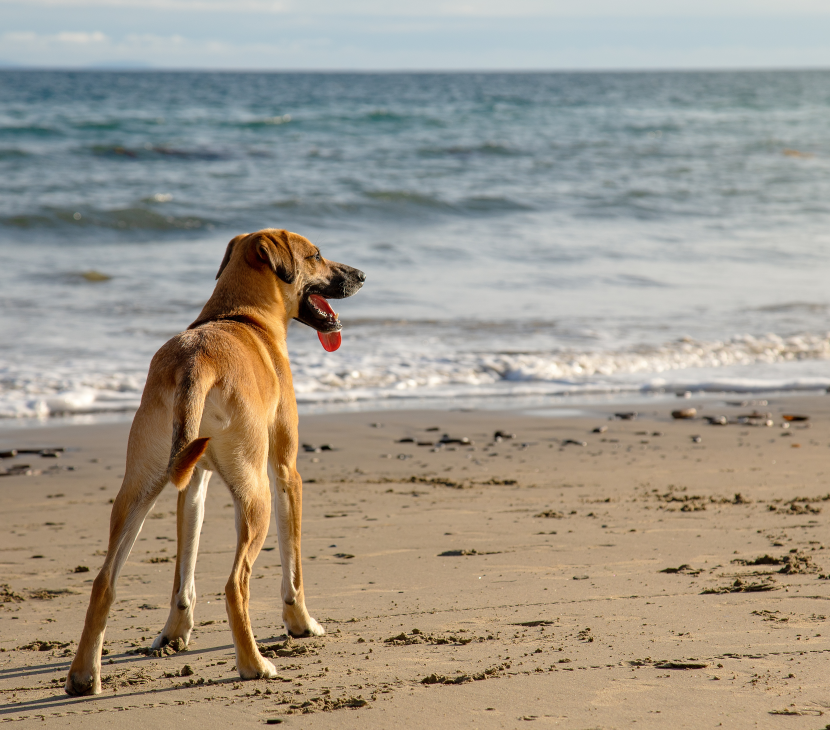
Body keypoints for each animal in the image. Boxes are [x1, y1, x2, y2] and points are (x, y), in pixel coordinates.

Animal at [65, 228, 364, 692]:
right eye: (316, 255)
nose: (361, 276)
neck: (240, 316)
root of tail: (195, 363)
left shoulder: (192, 486)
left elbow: (183, 571)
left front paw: (174, 633)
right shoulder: (286, 472)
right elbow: (293, 566)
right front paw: (301, 623)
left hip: (139, 486)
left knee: (104, 581)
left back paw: (83, 675)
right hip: (256, 494)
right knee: (234, 583)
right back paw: (253, 663)